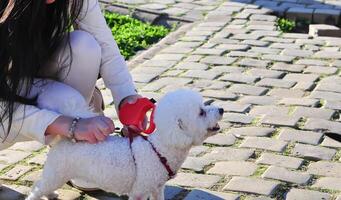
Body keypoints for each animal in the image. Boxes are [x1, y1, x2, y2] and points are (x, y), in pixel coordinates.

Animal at [25, 80, 223, 200]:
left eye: (204, 105)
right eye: (201, 112)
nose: (221, 109)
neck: (160, 149)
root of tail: (67, 138)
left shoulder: (157, 188)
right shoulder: (139, 191)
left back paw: (51, 195)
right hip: (57, 172)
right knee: (38, 188)